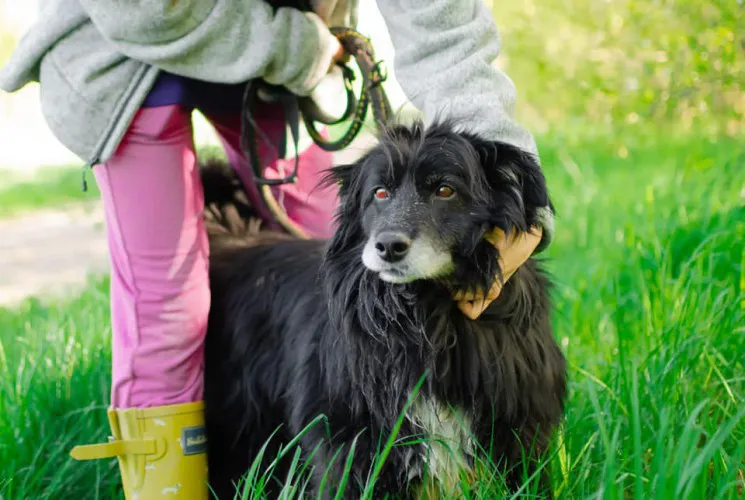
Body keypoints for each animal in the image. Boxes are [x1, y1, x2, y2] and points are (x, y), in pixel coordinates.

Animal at [202, 119, 564, 498]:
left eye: (445, 190)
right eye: (379, 193)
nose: (388, 246)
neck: (425, 315)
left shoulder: (518, 428)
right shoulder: (350, 441)